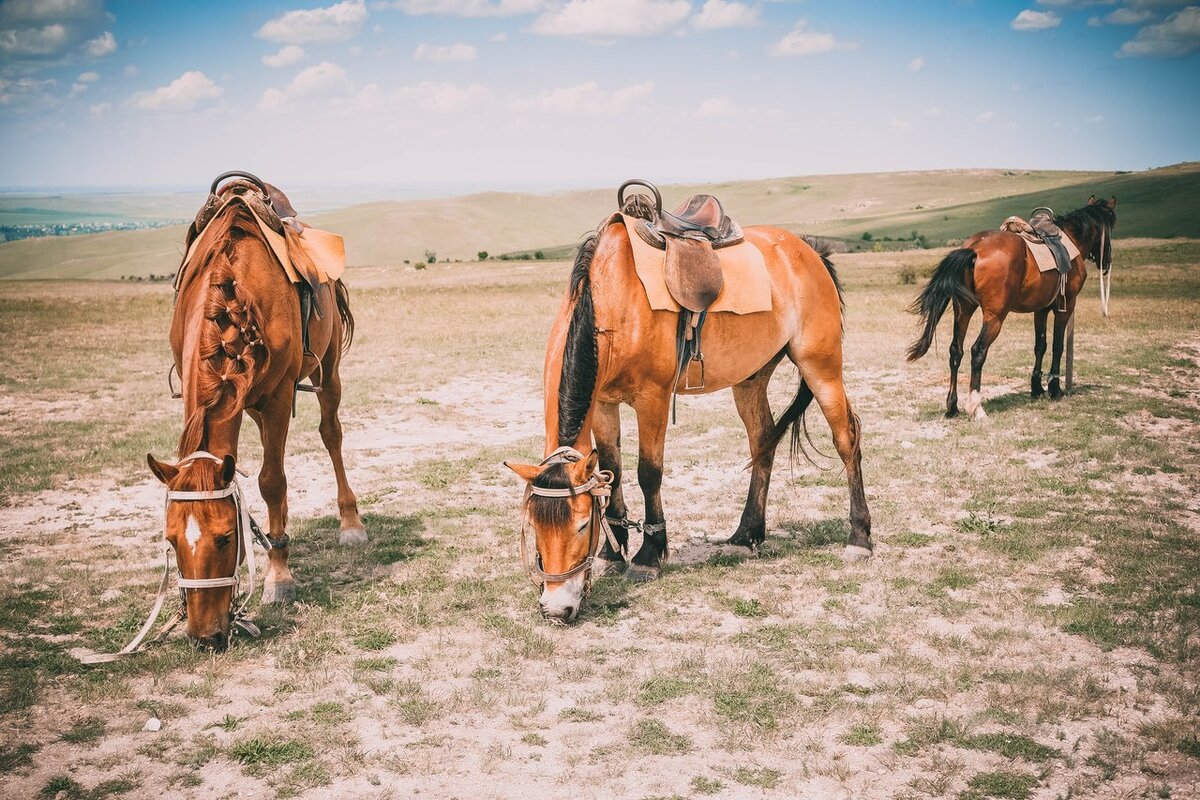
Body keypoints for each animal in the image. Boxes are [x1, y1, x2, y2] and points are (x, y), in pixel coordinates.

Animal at [147, 175, 360, 652]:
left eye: (227, 538)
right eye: (171, 541)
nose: (205, 637)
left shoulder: (278, 396)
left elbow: (271, 481)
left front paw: (278, 576)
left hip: (327, 370)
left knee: (331, 433)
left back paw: (350, 522)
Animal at [506, 183, 873, 623]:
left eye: (580, 525)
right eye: (534, 526)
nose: (556, 609)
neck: (613, 295)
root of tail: (810, 250)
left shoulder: (653, 398)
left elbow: (649, 473)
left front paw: (648, 556)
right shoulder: (604, 404)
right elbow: (613, 472)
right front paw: (613, 553)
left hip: (821, 367)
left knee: (846, 438)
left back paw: (859, 537)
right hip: (750, 379)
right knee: (762, 441)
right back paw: (747, 534)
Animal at [907, 195, 1113, 419]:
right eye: (1111, 227)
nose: (1107, 262)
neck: (1071, 241)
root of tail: (975, 249)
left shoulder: (1040, 309)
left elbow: (1040, 345)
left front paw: (1037, 388)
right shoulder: (1065, 306)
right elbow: (1058, 346)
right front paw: (1055, 389)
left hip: (964, 310)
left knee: (955, 351)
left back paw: (952, 407)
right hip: (995, 317)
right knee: (977, 351)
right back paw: (976, 407)